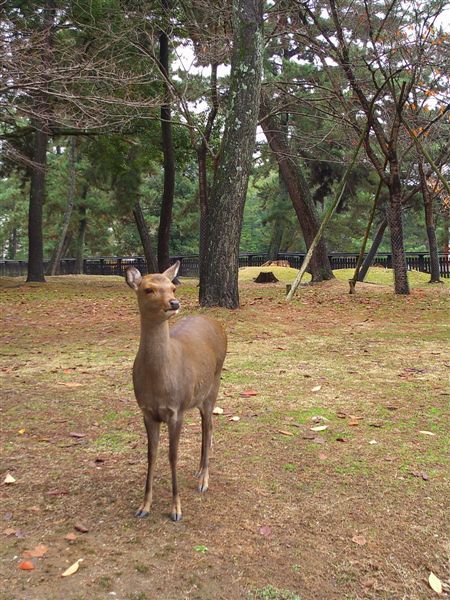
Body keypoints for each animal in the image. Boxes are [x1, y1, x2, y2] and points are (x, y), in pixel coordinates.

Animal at [125, 262, 227, 520]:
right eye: (148, 289)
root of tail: (218, 323)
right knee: (208, 427)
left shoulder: (176, 410)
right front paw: (144, 506)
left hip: (214, 385)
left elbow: (173, 456)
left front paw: (176, 510)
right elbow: (151, 455)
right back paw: (199, 472)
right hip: (199, 396)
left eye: (173, 287)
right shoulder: (147, 411)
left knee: (208, 427)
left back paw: (204, 481)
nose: (174, 303)